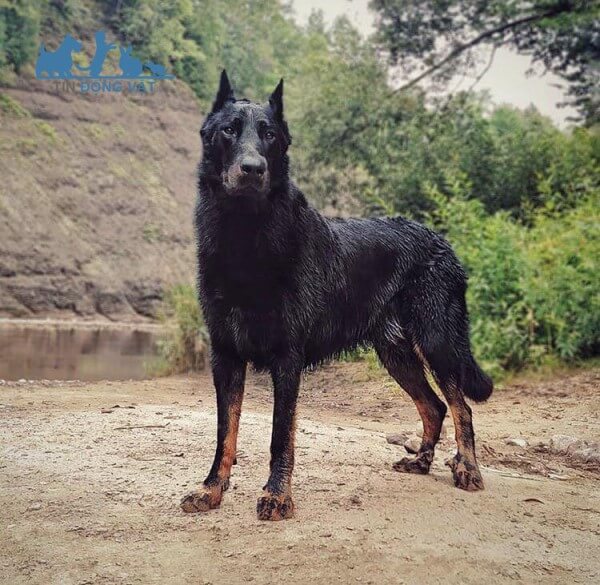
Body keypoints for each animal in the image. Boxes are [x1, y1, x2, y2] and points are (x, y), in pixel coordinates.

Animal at [182, 72, 492, 520]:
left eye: (269, 134)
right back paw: (420, 462)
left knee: (460, 406)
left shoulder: (287, 359)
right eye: (229, 130)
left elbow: (280, 437)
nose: (253, 169)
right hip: (396, 354)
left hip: (438, 342)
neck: (245, 238)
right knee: (434, 406)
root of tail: (443, 242)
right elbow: (226, 433)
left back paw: (467, 468)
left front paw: (277, 495)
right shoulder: (224, 355)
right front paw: (211, 489)